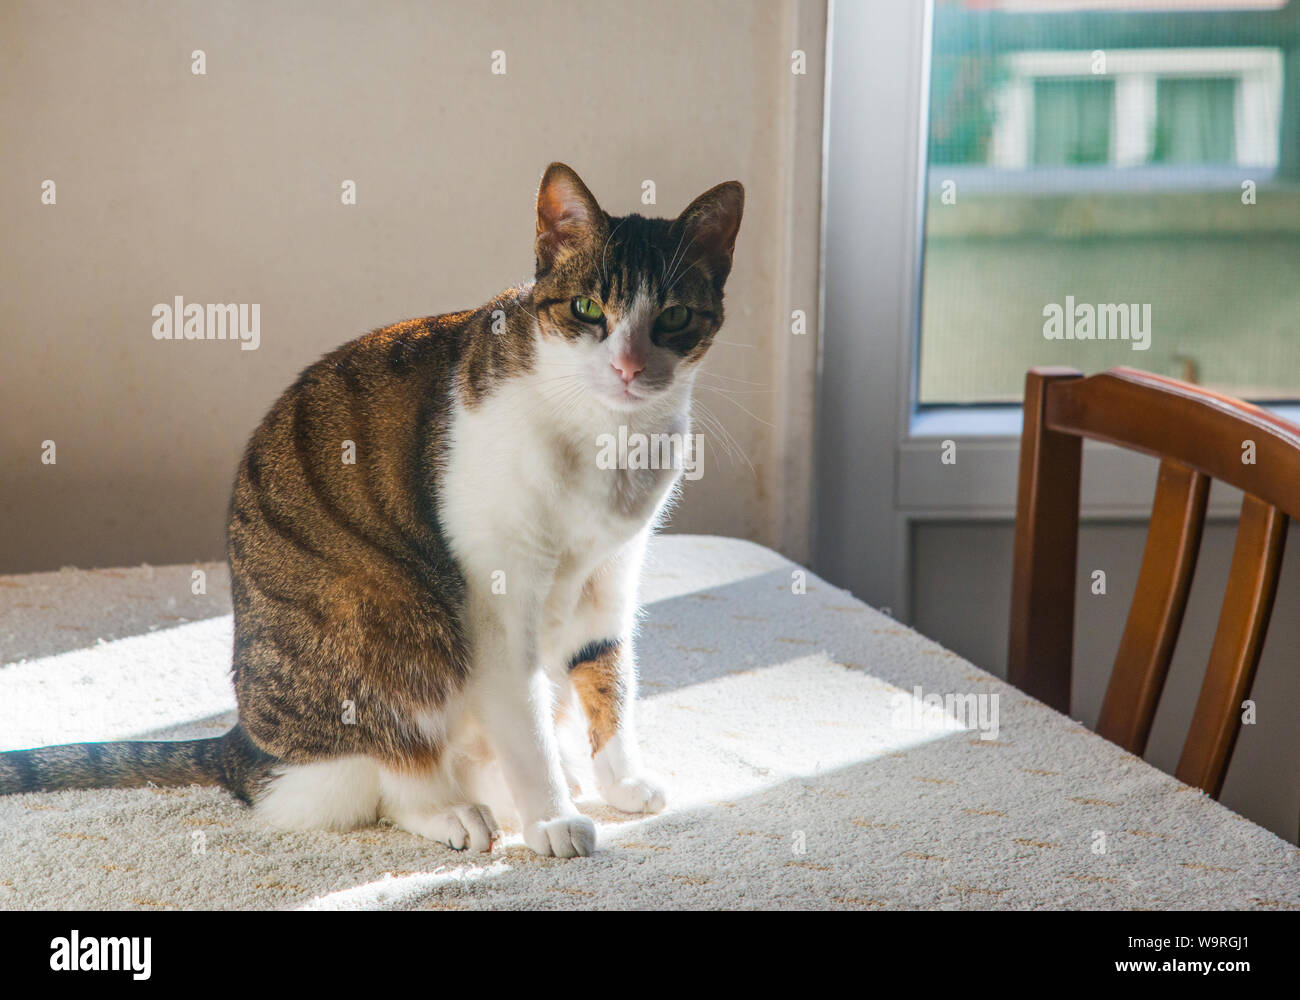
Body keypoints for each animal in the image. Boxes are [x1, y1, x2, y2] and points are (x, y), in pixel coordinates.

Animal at [0, 161, 748, 858]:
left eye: (674, 317)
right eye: (589, 310)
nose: (628, 367)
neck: (609, 440)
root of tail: (244, 747)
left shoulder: (611, 571)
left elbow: (608, 674)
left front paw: (621, 780)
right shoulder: (500, 602)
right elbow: (527, 721)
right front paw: (553, 818)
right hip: (395, 618)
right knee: (390, 773)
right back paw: (457, 811)